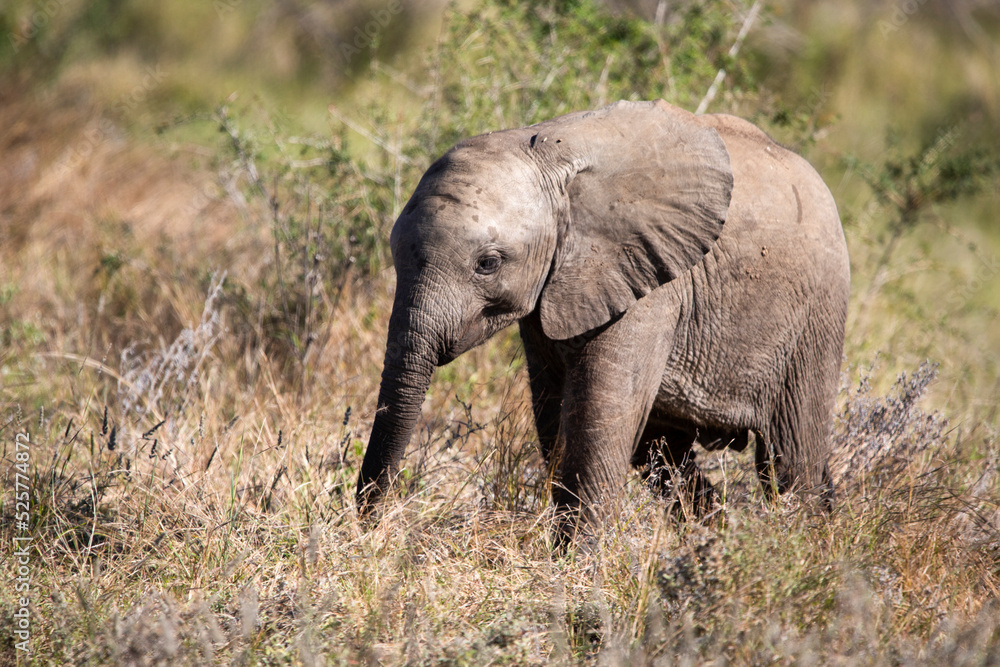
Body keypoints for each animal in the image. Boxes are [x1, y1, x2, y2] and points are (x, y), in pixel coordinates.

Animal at [356, 100, 850, 535]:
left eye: (488, 264)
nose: (369, 526)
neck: (547, 154)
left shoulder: (649, 278)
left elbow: (598, 422)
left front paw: (570, 569)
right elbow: (555, 417)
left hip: (816, 316)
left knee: (792, 458)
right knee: (663, 459)